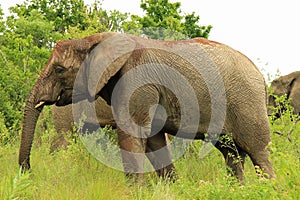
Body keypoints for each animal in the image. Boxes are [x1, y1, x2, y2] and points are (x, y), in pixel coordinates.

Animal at [19, 31, 274, 181]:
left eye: (60, 70)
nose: (28, 173)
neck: (94, 39)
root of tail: (261, 77)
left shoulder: (136, 83)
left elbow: (132, 134)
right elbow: (153, 141)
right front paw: (172, 188)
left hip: (246, 101)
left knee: (259, 153)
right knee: (231, 154)